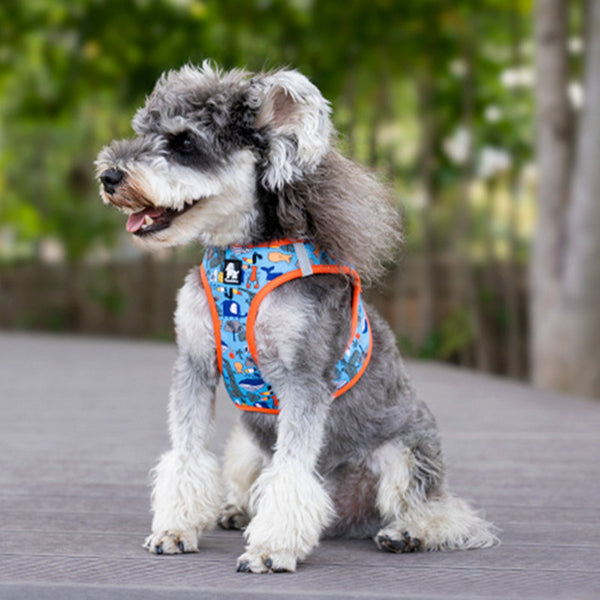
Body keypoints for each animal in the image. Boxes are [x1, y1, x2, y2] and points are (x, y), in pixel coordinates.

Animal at [95, 63, 496, 576]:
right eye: (142, 131)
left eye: (185, 142)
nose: (109, 176)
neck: (242, 258)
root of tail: (345, 514)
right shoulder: (195, 366)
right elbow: (187, 454)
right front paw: (175, 530)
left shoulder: (302, 377)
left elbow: (290, 473)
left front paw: (271, 549)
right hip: (246, 446)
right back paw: (235, 509)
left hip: (405, 456)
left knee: (449, 512)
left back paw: (408, 532)